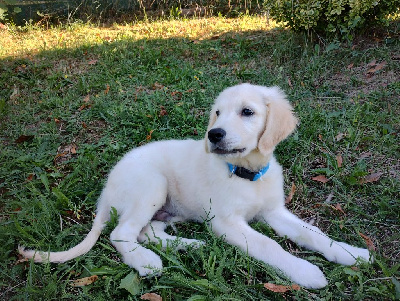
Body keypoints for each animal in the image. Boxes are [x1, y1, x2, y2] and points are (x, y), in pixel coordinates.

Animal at [18, 83, 368, 288]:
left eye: (247, 112)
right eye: (218, 113)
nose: (214, 134)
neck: (247, 173)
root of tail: (106, 191)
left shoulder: (274, 211)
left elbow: (312, 233)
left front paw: (349, 253)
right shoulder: (227, 223)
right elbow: (269, 245)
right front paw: (305, 271)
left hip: (166, 209)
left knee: (147, 231)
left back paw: (189, 245)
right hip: (151, 185)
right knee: (121, 233)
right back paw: (146, 261)